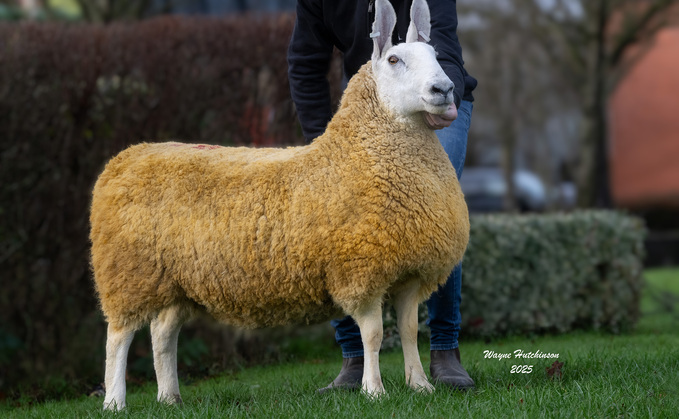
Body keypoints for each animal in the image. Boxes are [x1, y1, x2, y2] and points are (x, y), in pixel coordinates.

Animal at [90, 0, 470, 410]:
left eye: (436, 56)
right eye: (395, 60)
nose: (444, 89)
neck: (360, 153)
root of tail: (127, 157)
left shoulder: (410, 273)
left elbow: (410, 330)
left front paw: (420, 385)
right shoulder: (359, 272)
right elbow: (372, 335)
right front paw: (374, 390)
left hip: (178, 279)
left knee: (162, 332)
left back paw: (169, 396)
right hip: (128, 272)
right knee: (118, 337)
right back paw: (115, 401)